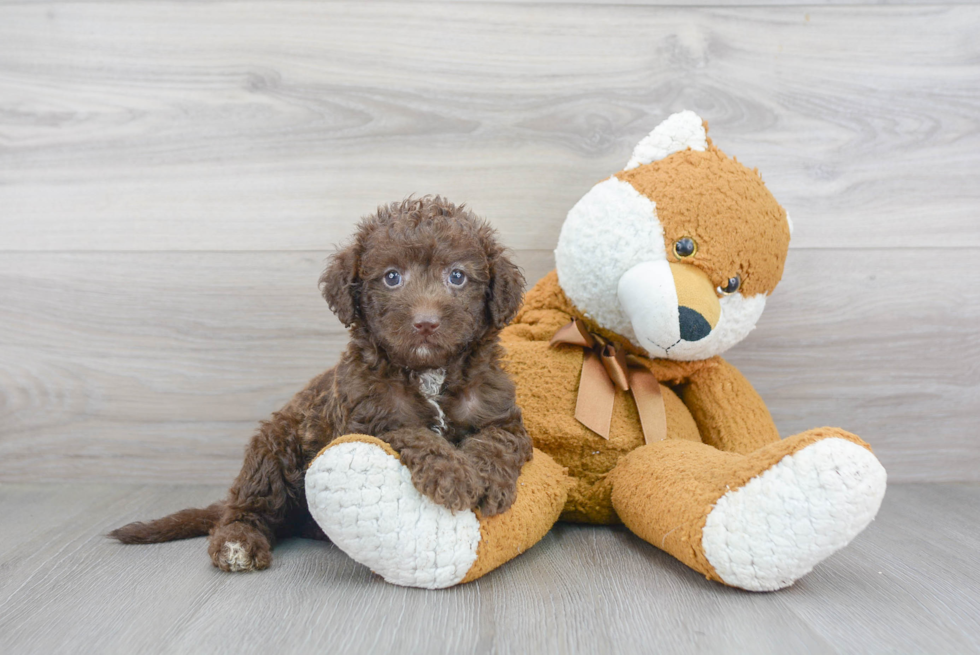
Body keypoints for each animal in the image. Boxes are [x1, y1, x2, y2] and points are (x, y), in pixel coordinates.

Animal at [110, 197, 532, 572]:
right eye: (392, 277)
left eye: (457, 276)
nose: (426, 322)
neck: (429, 370)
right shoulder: (368, 421)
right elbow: (415, 433)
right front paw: (453, 475)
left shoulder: (501, 415)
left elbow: (497, 442)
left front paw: (487, 480)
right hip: (273, 449)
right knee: (247, 509)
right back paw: (237, 543)